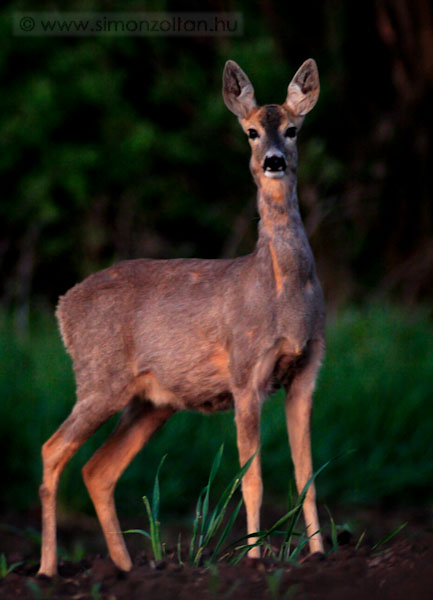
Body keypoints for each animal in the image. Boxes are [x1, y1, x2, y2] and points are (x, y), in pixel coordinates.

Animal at [38, 59, 324, 576]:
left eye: (293, 129)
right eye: (251, 131)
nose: (273, 160)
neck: (283, 294)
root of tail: (62, 307)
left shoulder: (306, 369)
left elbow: (305, 473)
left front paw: (319, 554)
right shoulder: (245, 372)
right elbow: (251, 479)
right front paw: (254, 559)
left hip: (151, 402)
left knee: (97, 469)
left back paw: (127, 567)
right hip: (99, 379)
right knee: (53, 450)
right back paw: (49, 568)